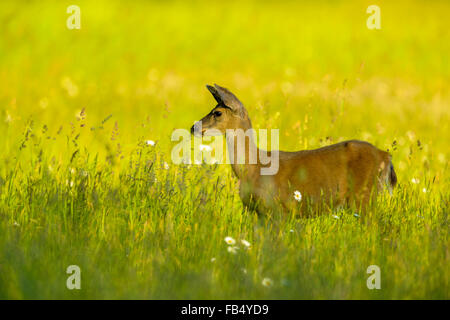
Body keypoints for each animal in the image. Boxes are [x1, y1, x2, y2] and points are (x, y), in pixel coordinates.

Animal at [190, 84, 398, 216]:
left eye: (217, 112)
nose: (193, 127)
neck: (253, 167)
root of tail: (386, 156)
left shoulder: (277, 209)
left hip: (363, 195)